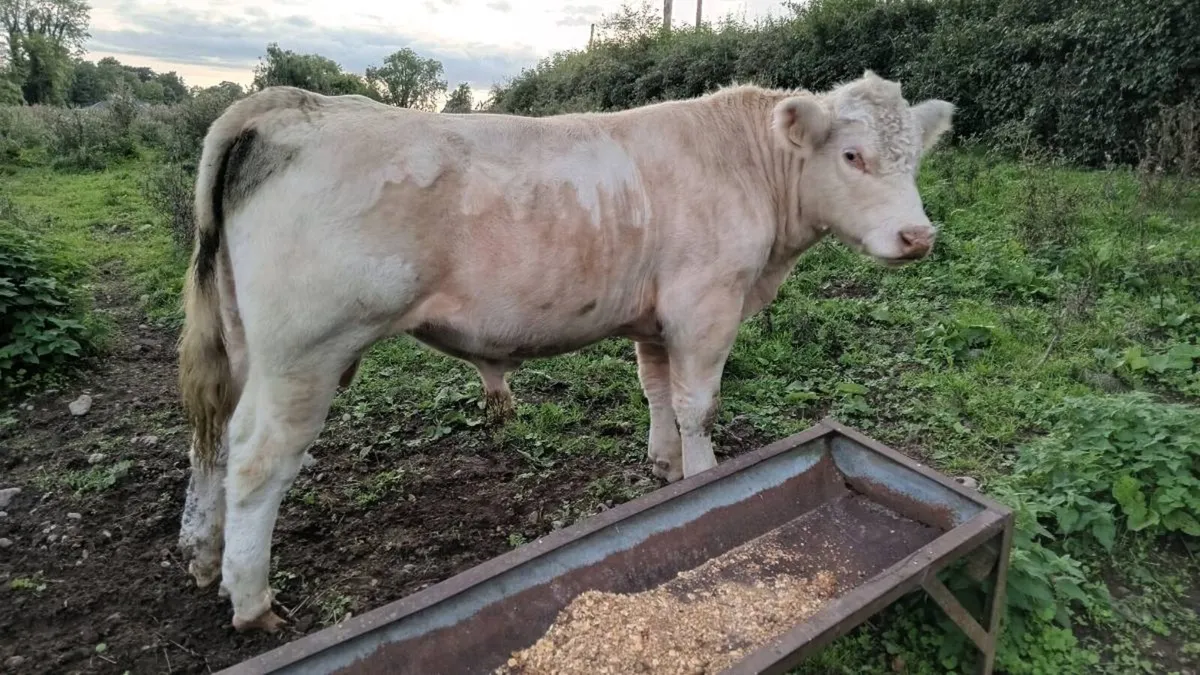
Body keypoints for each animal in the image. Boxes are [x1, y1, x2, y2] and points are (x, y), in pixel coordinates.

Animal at [175, 70, 954, 632]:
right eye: (852, 156)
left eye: (916, 159)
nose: (919, 237)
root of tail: (289, 105)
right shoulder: (705, 305)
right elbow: (697, 404)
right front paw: (705, 480)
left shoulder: (657, 318)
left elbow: (656, 390)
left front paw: (665, 467)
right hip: (306, 353)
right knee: (255, 460)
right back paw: (251, 602)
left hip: (245, 347)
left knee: (210, 442)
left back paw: (202, 557)